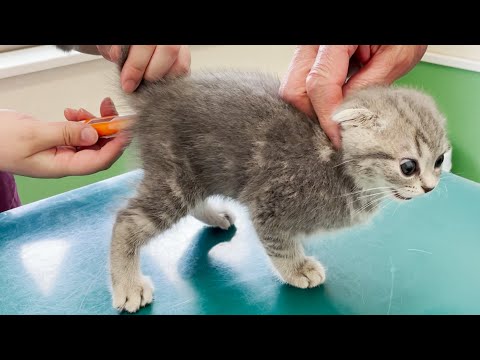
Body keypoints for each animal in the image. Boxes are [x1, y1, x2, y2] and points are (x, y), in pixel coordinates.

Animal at [59, 45, 450, 312]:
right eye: (408, 166)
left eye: (440, 160)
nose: (430, 187)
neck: (340, 167)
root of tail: (159, 94)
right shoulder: (271, 203)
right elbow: (279, 244)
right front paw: (297, 269)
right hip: (175, 177)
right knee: (128, 220)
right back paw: (127, 285)